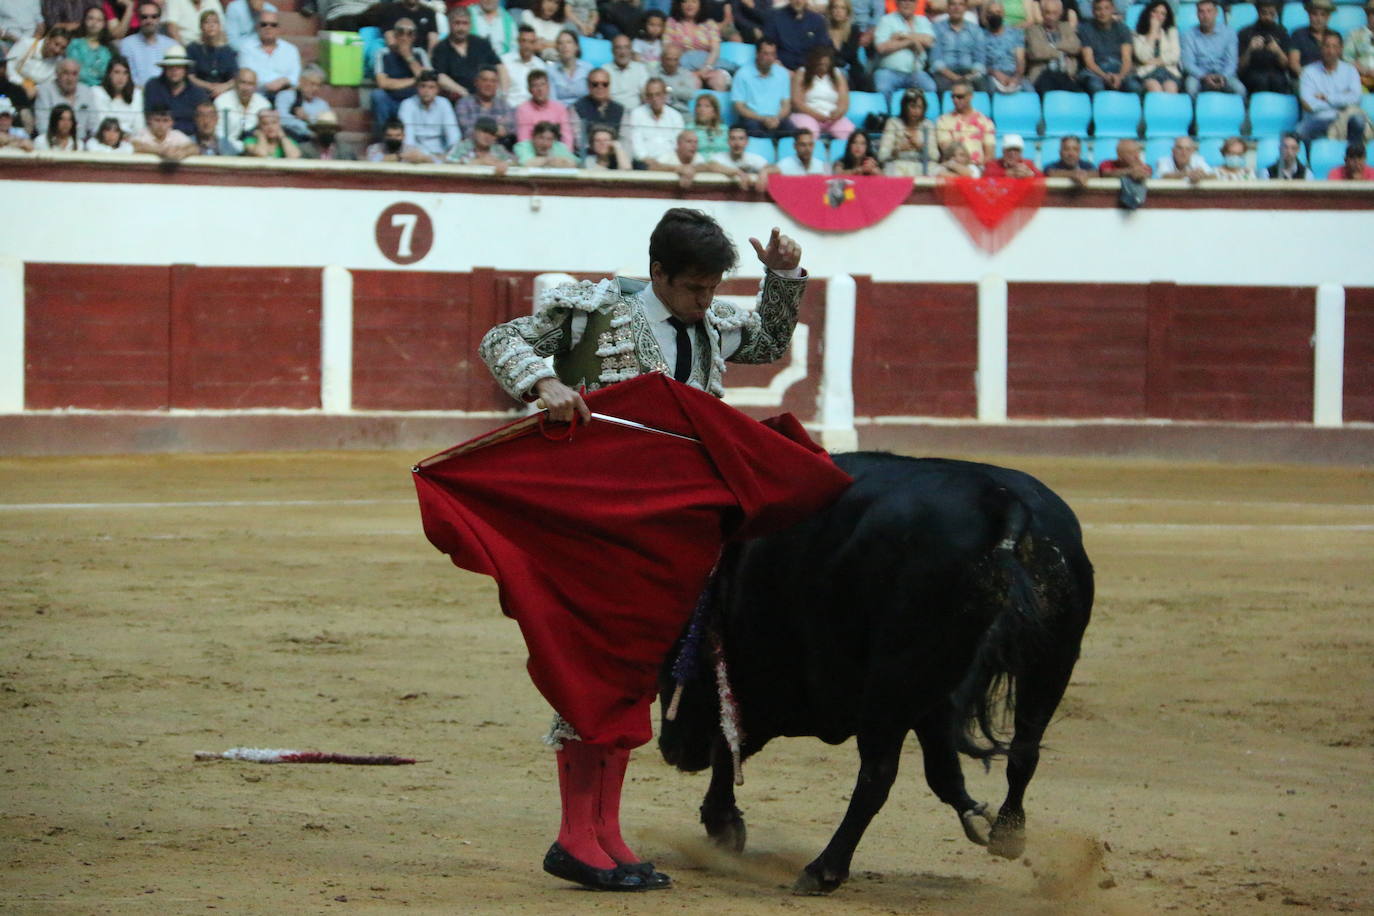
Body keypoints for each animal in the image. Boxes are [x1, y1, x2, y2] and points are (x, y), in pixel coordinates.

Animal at [654, 450, 1093, 895]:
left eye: (671, 665)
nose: (670, 749)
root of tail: (1005, 505)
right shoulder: (933, 693)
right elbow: (943, 771)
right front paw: (975, 815)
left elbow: (729, 741)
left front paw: (723, 825)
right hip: (1047, 661)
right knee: (1024, 750)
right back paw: (1006, 834)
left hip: (895, 680)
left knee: (877, 775)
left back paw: (823, 870)